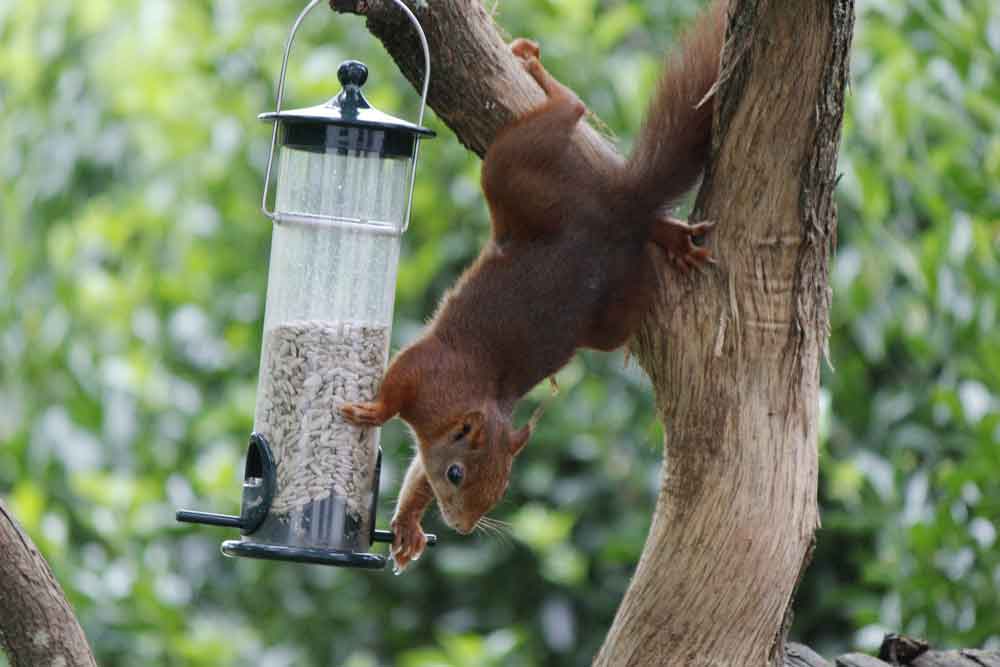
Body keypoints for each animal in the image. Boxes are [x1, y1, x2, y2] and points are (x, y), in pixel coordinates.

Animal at [342, 2, 728, 572]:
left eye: (502, 489)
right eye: (456, 474)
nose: (462, 527)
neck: (470, 401)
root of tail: (617, 213)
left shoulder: (433, 395)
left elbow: (410, 443)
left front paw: (402, 500)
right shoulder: (428, 373)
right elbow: (405, 422)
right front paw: (382, 436)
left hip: (548, 224)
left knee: (575, 124)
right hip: (549, 217)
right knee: (575, 125)